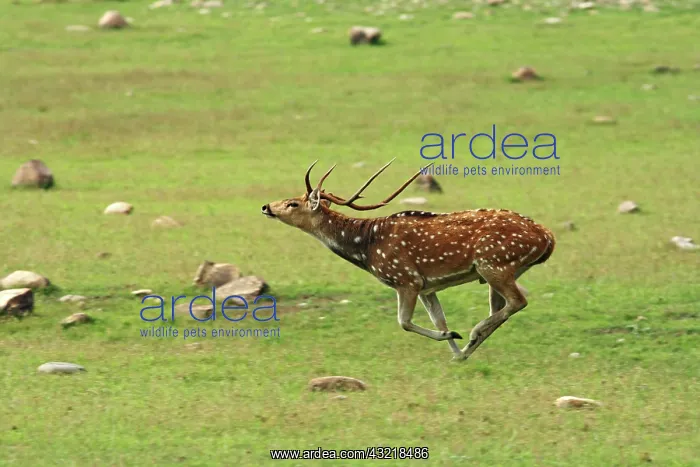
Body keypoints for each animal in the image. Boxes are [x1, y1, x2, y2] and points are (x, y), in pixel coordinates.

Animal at [261, 160, 556, 361]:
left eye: (292, 204)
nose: (266, 206)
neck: (366, 247)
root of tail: (548, 237)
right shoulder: (427, 286)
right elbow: (440, 321)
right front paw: (454, 347)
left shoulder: (406, 279)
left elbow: (403, 322)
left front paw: (457, 339)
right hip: (504, 270)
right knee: (501, 307)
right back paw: (470, 346)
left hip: (494, 263)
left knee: (517, 301)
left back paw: (475, 332)